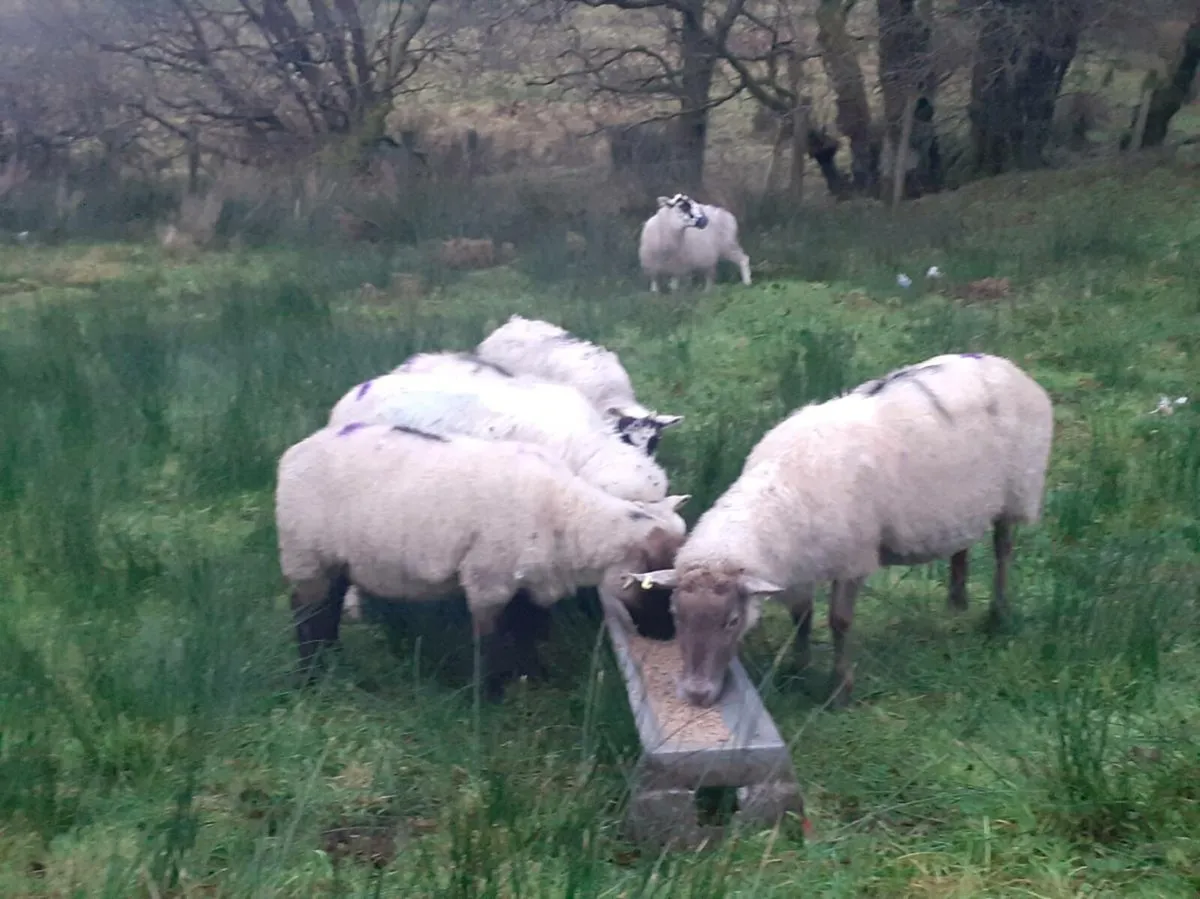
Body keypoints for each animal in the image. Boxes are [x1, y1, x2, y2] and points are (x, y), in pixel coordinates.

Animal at [276, 421, 689, 697]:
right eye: (653, 588)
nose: (666, 636)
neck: (567, 519)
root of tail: (292, 453)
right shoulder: (488, 580)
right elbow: (490, 641)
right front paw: (489, 696)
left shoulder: (530, 582)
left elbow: (526, 630)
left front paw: (534, 679)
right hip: (305, 554)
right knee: (307, 613)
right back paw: (311, 675)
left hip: (335, 561)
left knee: (328, 607)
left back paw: (332, 659)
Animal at [625, 352, 1054, 709]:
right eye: (677, 615)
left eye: (731, 621)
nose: (696, 695)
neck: (780, 490)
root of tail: (1005, 364)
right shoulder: (796, 564)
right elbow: (801, 617)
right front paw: (797, 668)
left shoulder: (852, 559)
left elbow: (839, 622)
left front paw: (839, 689)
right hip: (963, 502)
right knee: (962, 544)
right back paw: (957, 601)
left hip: (1017, 491)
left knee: (1002, 549)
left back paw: (998, 614)